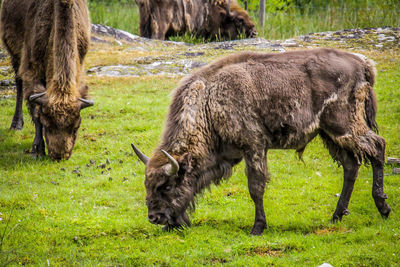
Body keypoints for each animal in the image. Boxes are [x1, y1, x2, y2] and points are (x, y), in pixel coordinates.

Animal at [0, 0, 94, 160]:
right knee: (18, 84)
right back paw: (16, 124)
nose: (60, 155)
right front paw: (37, 149)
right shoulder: (31, 70)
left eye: (76, 127)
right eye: (47, 124)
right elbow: (35, 109)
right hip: (14, 54)